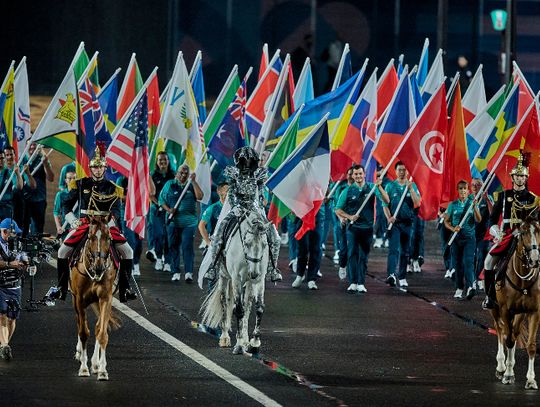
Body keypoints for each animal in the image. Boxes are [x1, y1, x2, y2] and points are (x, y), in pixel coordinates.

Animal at [69, 218, 121, 380]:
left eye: (108, 238)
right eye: (91, 237)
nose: (99, 267)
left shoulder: (105, 298)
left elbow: (102, 333)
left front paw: (102, 369)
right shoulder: (79, 300)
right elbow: (83, 332)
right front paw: (84, 368)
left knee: (98, 326)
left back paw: (96, 364)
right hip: (75, 300)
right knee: (79, 322)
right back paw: (80, 353)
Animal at [200, 209, 270, 356]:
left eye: (264, 245)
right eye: (247, 242)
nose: (254, 273)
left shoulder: (259, 280)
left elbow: (258, 308)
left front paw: (254, 343)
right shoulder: (236, 279)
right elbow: (238, 310)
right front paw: (238, 345)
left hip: (249, 284)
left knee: (247, 305)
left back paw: (246, 339)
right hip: (224, 276)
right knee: (225, 302)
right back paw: (225, 337)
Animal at [490, 218, 540, 390]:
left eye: (538, 230)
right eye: (523, 232)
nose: (535, 260)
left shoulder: (534, 312)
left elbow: (530, 345)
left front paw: (531, 380)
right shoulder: (505, 310)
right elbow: (508, 339)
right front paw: (507, 374)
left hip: (519, 313)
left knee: (514, 332)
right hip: (495, 309)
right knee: (500, 330)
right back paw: (501, 367)